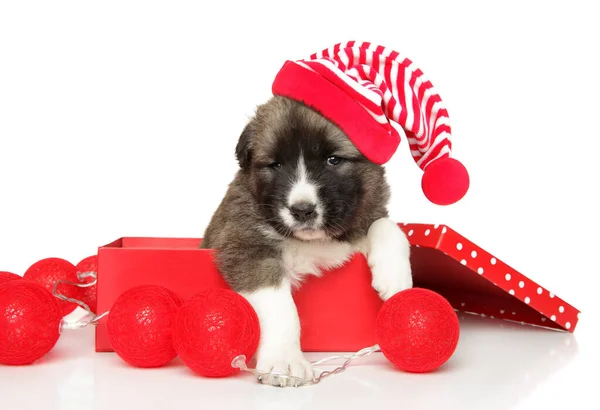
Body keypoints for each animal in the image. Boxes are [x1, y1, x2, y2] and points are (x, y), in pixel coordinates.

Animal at [202, 96, 412, 384]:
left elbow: (387, 225)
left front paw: (396, 279)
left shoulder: (358, 226)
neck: (312, 240)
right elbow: (280, 305)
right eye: (276, 164)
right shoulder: (245, 244)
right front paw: (284, 361)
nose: (302, 210)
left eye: (333, 160)